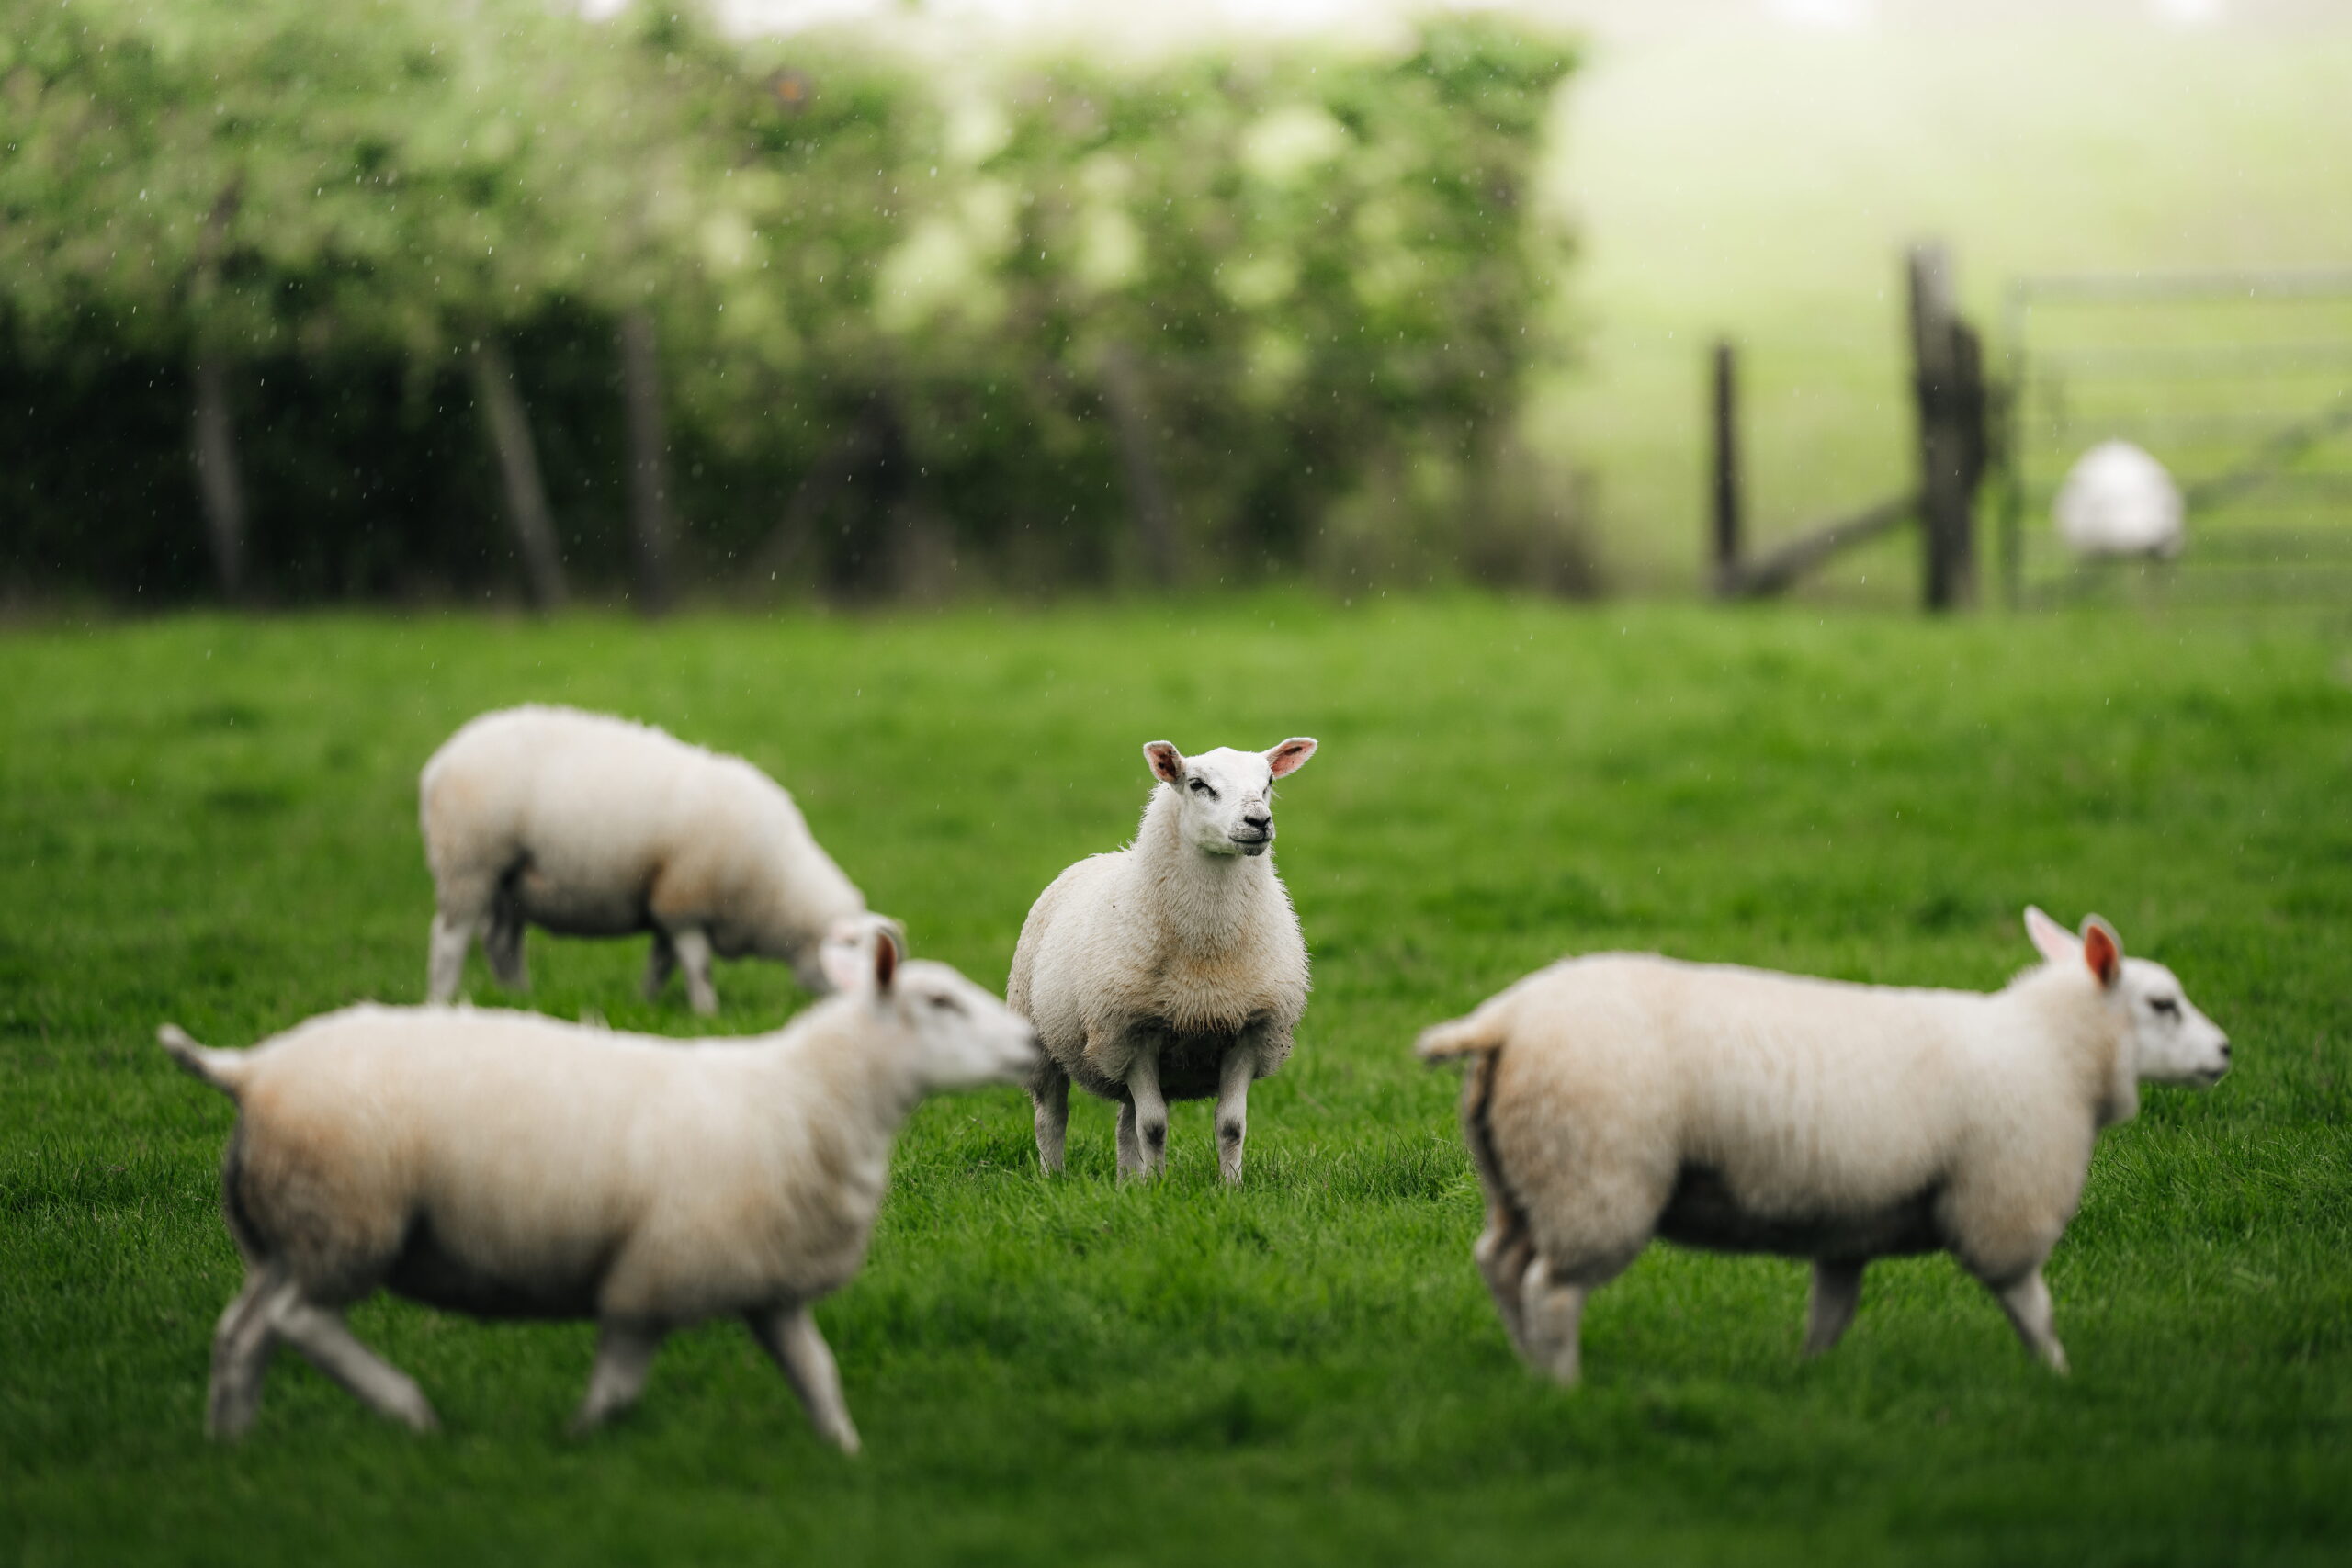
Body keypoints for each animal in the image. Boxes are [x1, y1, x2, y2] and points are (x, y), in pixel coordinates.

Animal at [156, 926, 1038, 1450]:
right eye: (939, 1000)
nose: (1032, 1042)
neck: (806, 1098)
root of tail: (249, 1067)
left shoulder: (765, 1281)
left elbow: (817, 1378)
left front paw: (846, 1456)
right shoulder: (655, 1274)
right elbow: (616, 1389)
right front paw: (578, 1444)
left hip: (285, 1231)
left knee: (243, 1333)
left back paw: (230, 1445)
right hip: (346, 1216)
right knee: (299, 1322)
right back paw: (409, 1410)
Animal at [420, 704, 892, 1014]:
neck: (778, 887)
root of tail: (440, 762)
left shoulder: (667, 905)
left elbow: (661, 965)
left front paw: (645, 1004)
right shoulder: (685, 901)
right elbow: (698, 966)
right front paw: (708, 1014)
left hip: (511, 884)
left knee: (502, 942)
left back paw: (519, 998)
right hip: (468, 861)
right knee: (450, 939)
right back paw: (442, 998)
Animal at [1008, 736, 1318, 1185]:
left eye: (1269, 782)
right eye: (1198, 784)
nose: (1258, 821)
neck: (1206, 960)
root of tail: (1100, 856)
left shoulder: (1249, 1030)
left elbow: (1230, 1126)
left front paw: (1230, 1187)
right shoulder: (1133, 1032)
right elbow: (1154, 1126)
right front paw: (1157, 1187)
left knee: (1125, 1123)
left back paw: (1126, 1183)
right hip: (1043, 1041)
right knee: (1052, 1117)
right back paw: (1054, 1178)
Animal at [1417, 908, 2230, 1383]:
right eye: (2163, 1003)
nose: (2225, 1050)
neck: (2053, 1051)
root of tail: (1506, 1018)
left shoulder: (1849, 1226)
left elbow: (1830, 1317)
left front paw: (1808, 1382)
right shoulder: (2002, 1207)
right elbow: (2032, 1306)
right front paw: (2059, 1380)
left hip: (1523, 1174)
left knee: (1500, 1263)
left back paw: (1529, 1372)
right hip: (1592, 1173)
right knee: (1551, 1289)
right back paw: (1564, 1387)